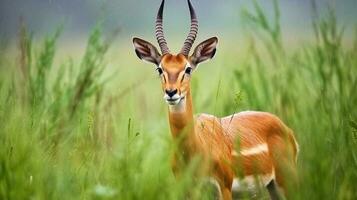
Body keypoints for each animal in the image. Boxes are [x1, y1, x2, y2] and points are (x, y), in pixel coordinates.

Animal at [131, 0, 298, 199]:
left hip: (286, 183)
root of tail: (286, 129)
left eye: (188, 68)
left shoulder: (224, 187)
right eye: (159, 68)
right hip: (272, 187)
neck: (195, 148)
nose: (171, 92)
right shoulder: (186, 190)